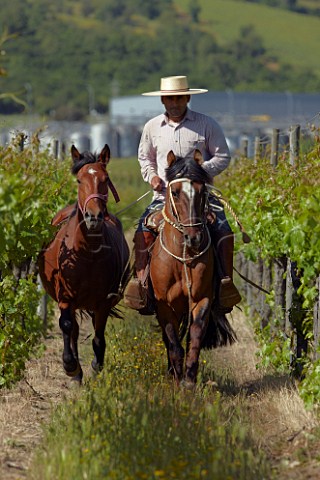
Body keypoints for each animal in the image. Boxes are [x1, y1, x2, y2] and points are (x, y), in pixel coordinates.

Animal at [39, 142, 130, 382]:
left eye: (105, 179)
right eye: (79, 180)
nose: (93, 217)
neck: (88, 252)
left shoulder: (103, 302)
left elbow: (98, 335)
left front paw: (96, 366)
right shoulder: (65, 296)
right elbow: (66, 325)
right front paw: (70, 366)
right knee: (73, 329)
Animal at [149, 152, 235, 388]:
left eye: (202, 191)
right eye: (175, 192)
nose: (194, 237)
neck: (183, 258)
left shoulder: (201, 298)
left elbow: (194, 337)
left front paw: (189, 379)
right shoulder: (164, 305)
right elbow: (173, 342)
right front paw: (177, 377)